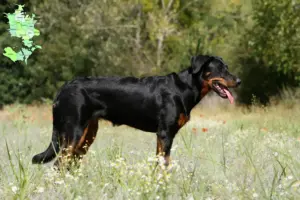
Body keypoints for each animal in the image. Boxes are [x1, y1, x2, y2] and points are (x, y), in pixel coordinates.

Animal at [31, 54, 241, 169]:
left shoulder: (164, 135)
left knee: (70, 164)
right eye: (220, 69)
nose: (239, 81)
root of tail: (63, 88)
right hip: (72, 133)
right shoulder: (165, 133)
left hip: (86, 135)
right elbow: (164, 163)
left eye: (227, 68)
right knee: (59, 165)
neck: (185, 88)